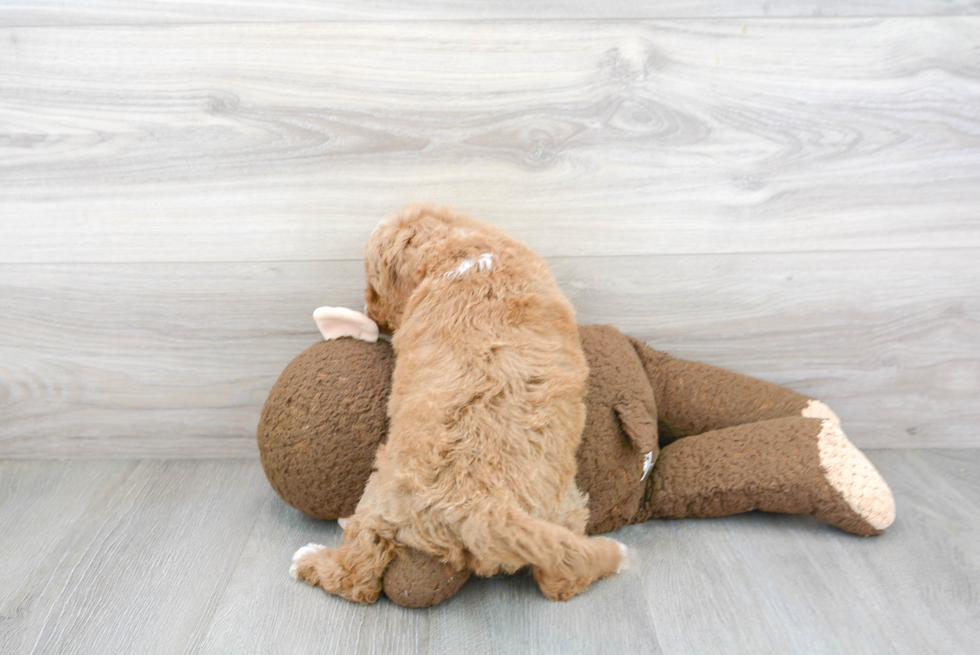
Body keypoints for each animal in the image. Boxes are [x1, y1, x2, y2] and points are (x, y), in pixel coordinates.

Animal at [290, 202, 628, 604]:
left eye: (373, 281)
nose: (372, 313)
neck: (464, 250)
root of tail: (485, 506)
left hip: (380, 497)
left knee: (359, 574)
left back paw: (309, 559)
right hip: (565, 509)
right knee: (564, 575)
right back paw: (612, 557)